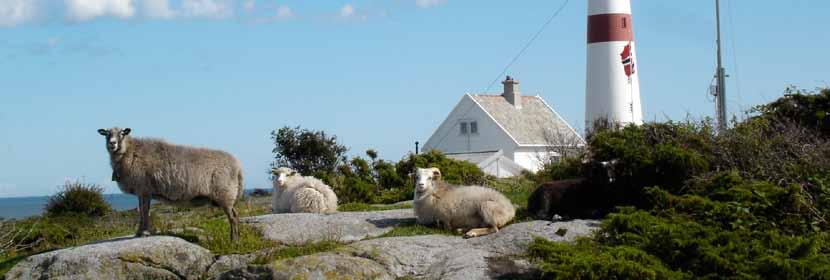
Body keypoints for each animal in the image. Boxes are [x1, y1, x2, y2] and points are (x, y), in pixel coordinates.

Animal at [97, 127, 245, 241]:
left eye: (122, 133)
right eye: (107, 134)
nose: (112, 144)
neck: (130, 152)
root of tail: (238, 167)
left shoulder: (144, 189)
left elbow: (144, 211)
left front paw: (144, 232)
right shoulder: (142, 192)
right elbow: (142, 212)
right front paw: (139, 232)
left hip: (225, 193)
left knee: (233, 218)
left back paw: (233, 241)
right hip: (228, 196)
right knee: (236, 215)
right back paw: (236, 240)